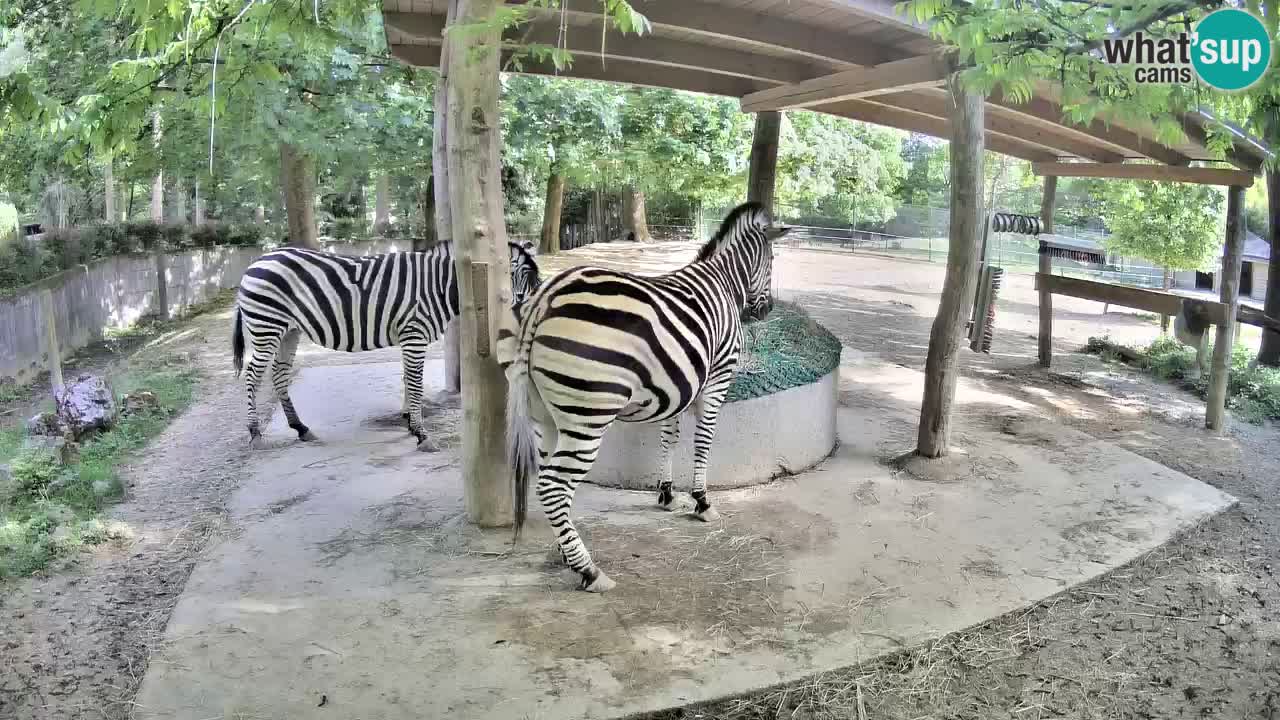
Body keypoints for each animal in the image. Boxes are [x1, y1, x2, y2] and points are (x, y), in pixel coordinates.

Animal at [232, 240, 541, 450]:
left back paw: (300, 427)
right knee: (253, 377)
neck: (439, 285)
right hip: (266, 326)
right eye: (527, 289)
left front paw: (409, 422)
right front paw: (421, 433)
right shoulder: (414, 333)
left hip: (289, 330)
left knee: (279, 374)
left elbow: (407, 378)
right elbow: (414, 382)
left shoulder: (409, 336)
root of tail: (255, 263)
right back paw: (254, 432)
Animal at [497, 201, 788, 592]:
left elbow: (669, 436)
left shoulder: (678, 383)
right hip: (588, 415)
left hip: (544, 413)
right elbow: (703, 440)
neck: (724, 282)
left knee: (550, 478)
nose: (765, 310)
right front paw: (702, 501)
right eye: (771, 260)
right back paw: (589, 571)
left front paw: (666, 493)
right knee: (554, 485)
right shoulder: (717, 377)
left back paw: (566, 551)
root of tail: (544, 299)